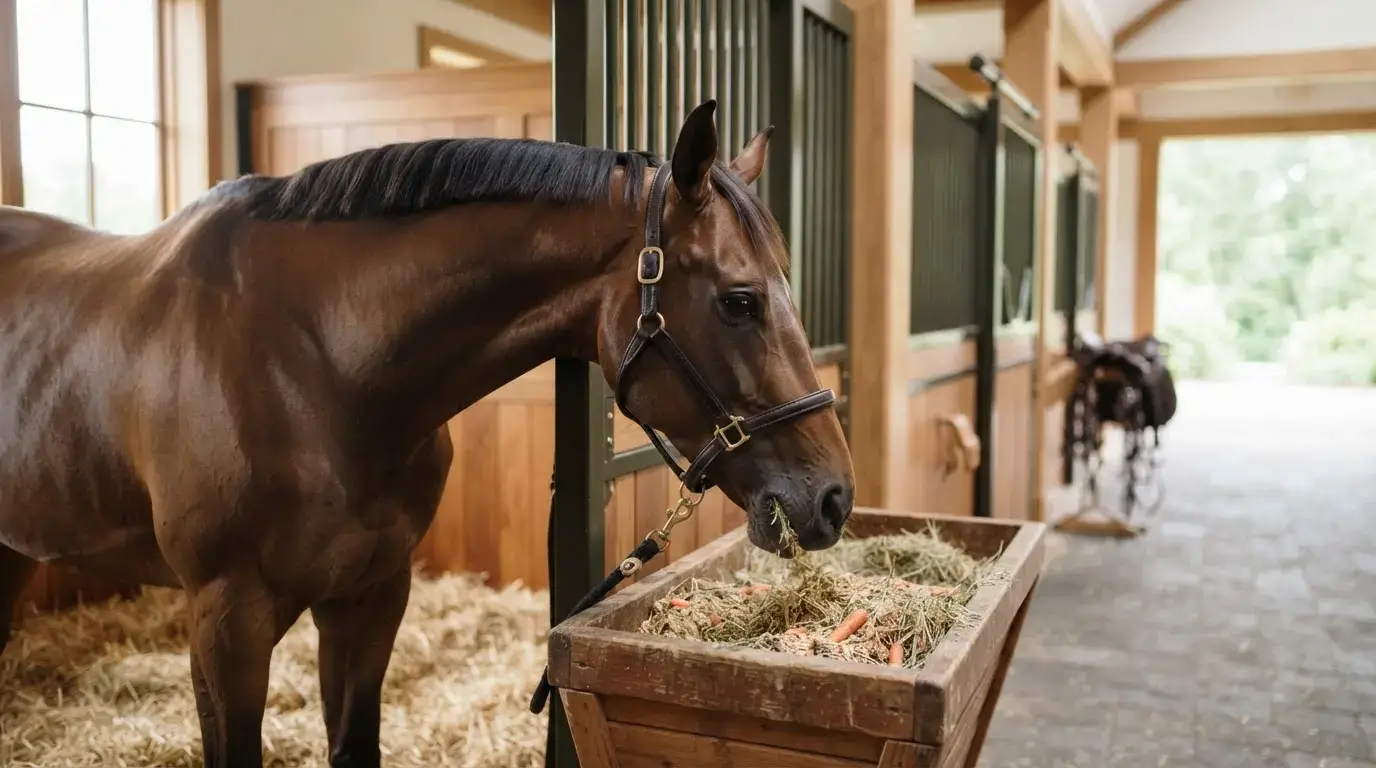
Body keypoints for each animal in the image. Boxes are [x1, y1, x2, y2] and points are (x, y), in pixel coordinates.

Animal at [0, 99, 854, 767]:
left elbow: (354, 744)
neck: (313, 359)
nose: (834, 499)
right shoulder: (225, 622)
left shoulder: (372, 596)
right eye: (739, 300)